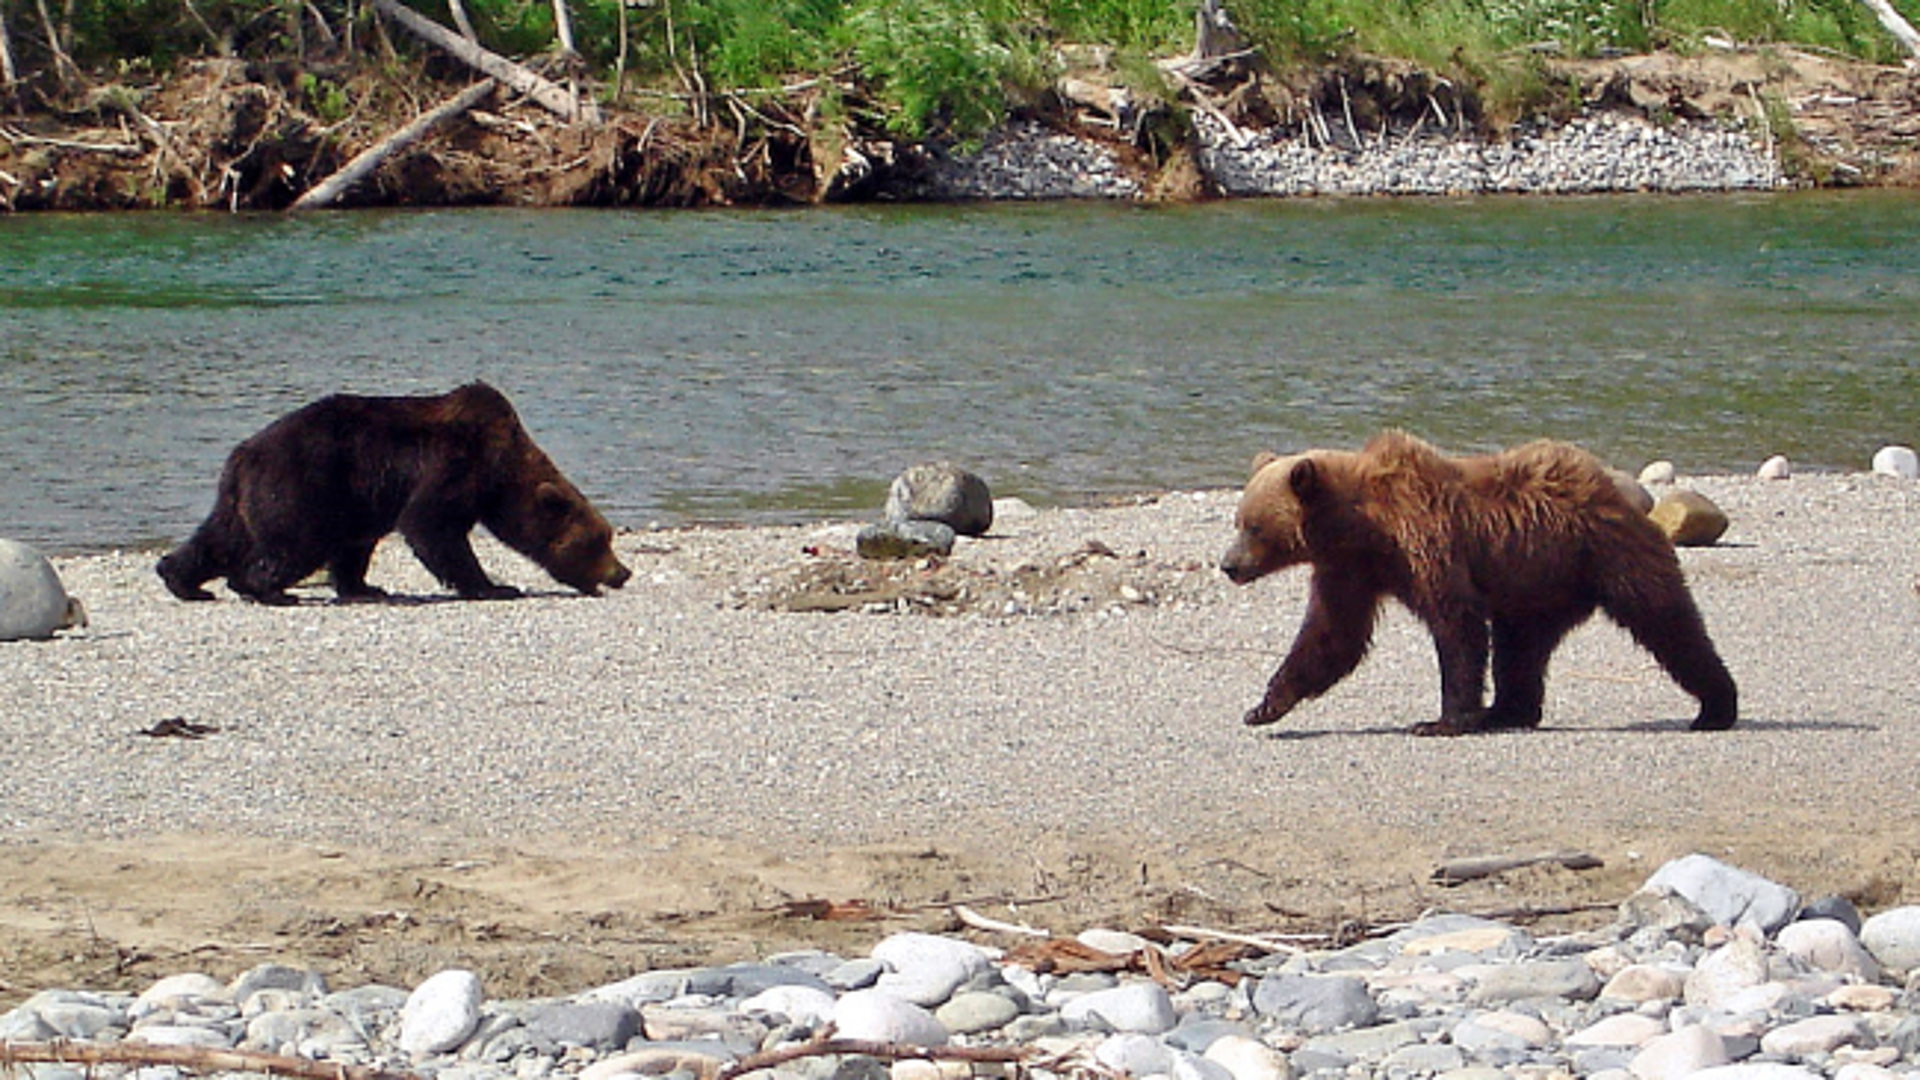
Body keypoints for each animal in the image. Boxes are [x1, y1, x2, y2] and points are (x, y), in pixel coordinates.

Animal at [159, 380, 629, 599]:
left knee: (217, 537)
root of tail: (241, 455)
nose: (622, 572)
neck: (501, 471)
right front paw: (495, 586)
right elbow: (431, 526)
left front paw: (363, 587)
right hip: (300, 487)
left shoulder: (361, 500)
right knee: (290, 544)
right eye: (597, 541)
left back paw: (182, 580)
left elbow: (356, 545)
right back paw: (266, 589)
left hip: (245, 497)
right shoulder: (455, 464)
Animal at [1228, 428, 1743, 730]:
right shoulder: (1349, 569)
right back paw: (1507, 711)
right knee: (1521, 647)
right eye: (1240, 520)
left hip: (1608, 556)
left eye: (1253, 526)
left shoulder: (1426, 542)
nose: (1228, 564)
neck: (1362, 527)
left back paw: (1715, 707)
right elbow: (1332, 636)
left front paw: (1442, 720)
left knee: (1668, 622)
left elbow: (1457, 625)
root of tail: (1616, 493)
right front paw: (1264, 706)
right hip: (1537, 584)